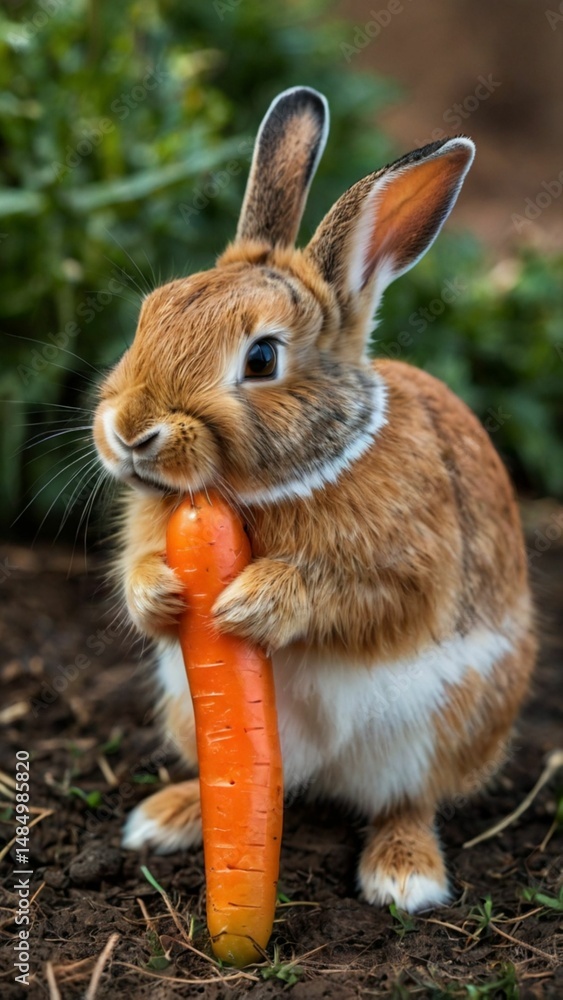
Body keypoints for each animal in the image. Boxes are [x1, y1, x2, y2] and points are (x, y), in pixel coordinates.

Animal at [93, 86, 536, 912]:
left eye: (262, 358)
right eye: (150, 312)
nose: (131, 432)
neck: (271, 486)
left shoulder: (409, 568)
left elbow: (361, 597)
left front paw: (247, 604)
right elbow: (137, 571)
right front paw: (161, 593)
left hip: (439, 728)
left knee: (408, 800)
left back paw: (403, 877)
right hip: (188, 709)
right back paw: (166, 818)